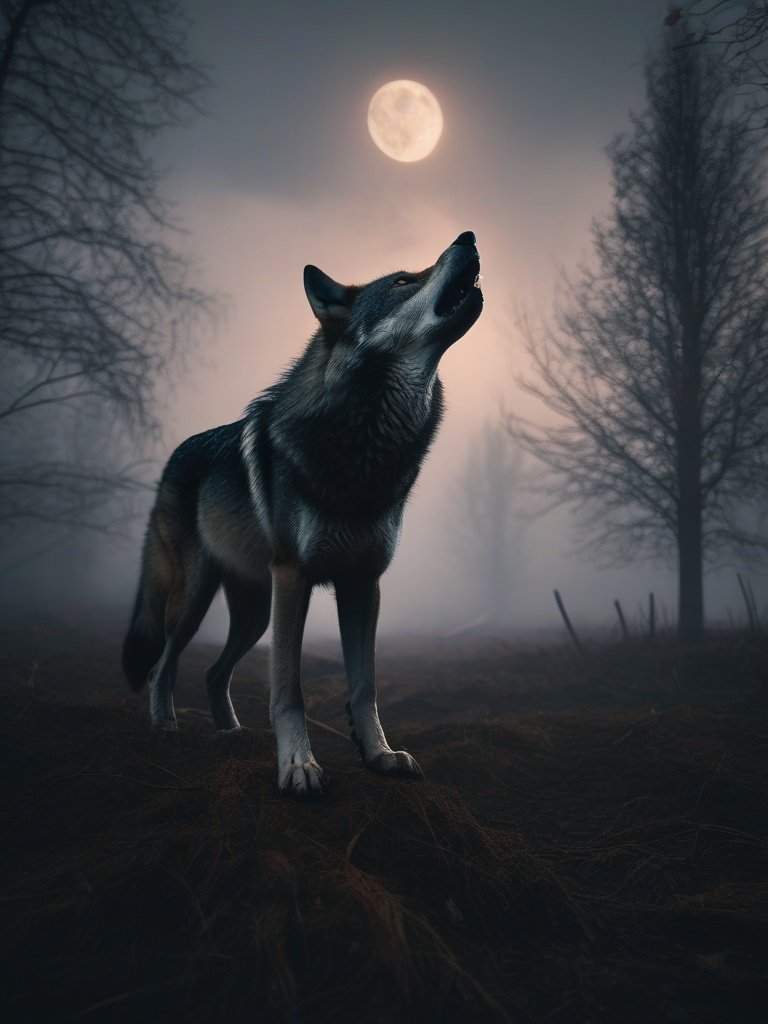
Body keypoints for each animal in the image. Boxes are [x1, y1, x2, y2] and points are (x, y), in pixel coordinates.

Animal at [122, 231, 483, 796]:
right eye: (404, 280)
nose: (468, 237)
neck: (367, 445)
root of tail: (173, 456)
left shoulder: (363, 583)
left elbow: (365, 685)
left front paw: (379, 754)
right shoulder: (295, 579)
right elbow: (289, 691)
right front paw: (296, 766)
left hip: (253, 612)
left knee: (214, 672)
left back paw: (232, 735)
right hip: (198, 599)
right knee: (164, 663)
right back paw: (165, 727)